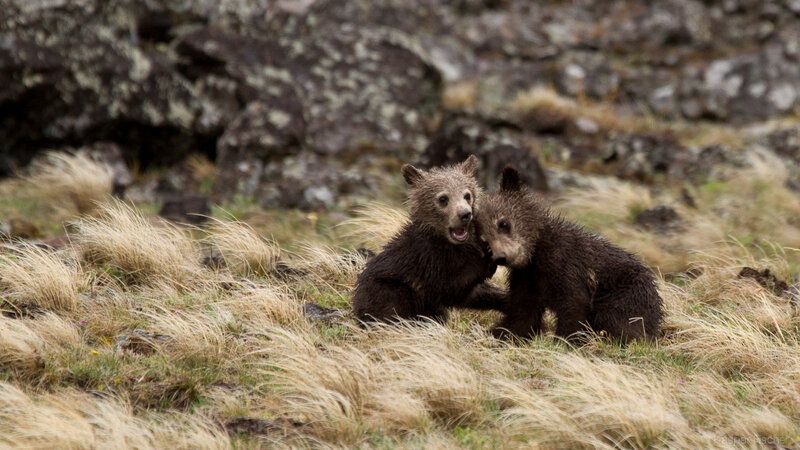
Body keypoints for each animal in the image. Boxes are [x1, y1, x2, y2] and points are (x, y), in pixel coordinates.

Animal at [352, 155, 506, 324]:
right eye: (443, 198)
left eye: (467, 195)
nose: (465, 214)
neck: (447, 244)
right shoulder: (426, 261)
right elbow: (449, 288)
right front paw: (487, 259)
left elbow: (477, 293)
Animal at [476, 165, 663, 342]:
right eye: (485, 241)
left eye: (503, 223)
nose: (502, 256)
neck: (536, 256)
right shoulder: (527, 279)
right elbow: (522, 316)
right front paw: (499, 334)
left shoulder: (568, 266)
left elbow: (574, 306)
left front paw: (566, 341)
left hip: (625, 292)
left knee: (618, 319)